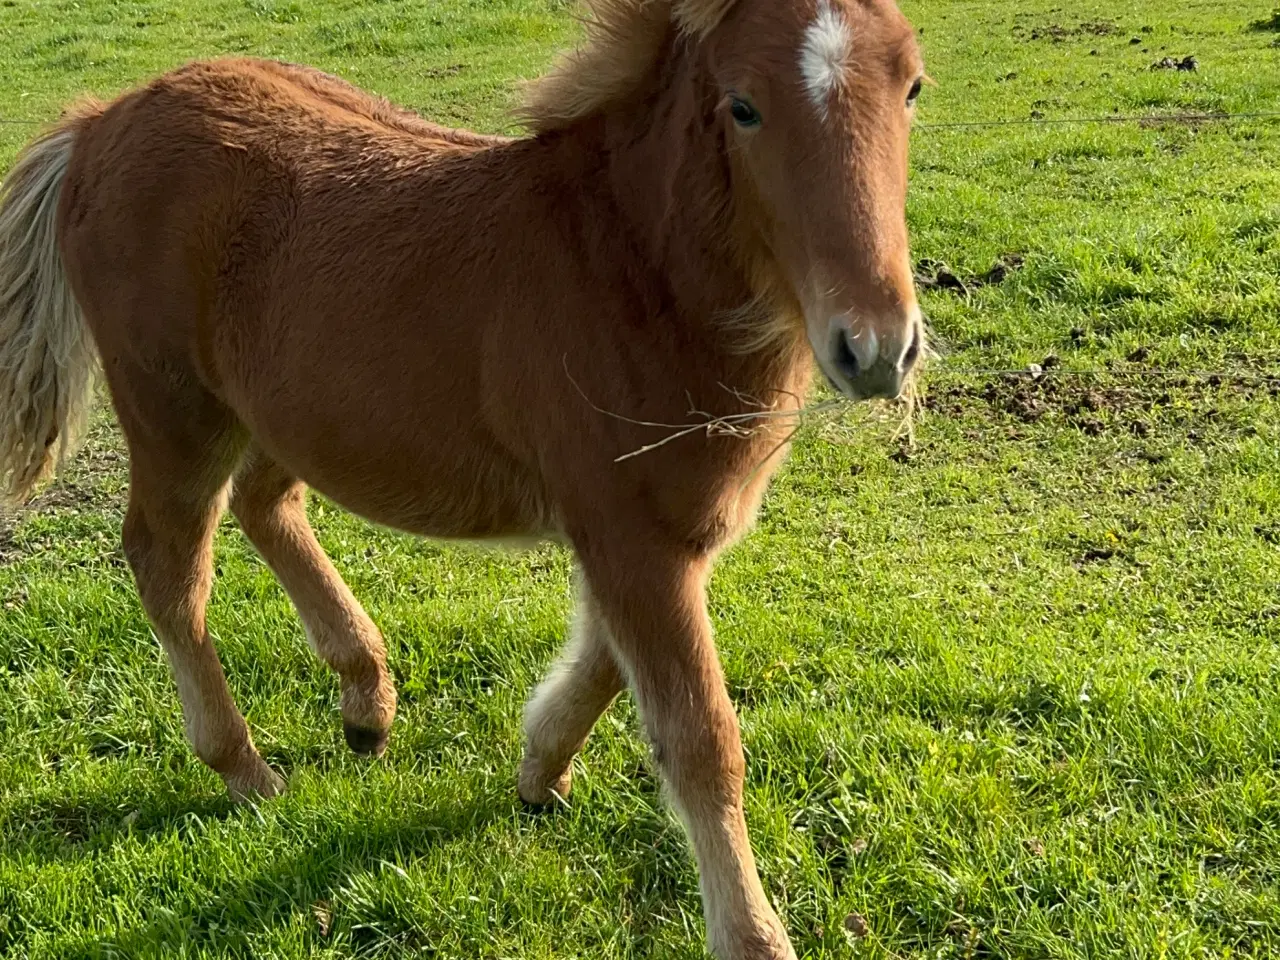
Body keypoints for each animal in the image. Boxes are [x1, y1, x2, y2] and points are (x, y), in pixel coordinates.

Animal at [0, 0, 926, 957]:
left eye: (912, 86)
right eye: (742, 107)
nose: (876, 348)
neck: (631, 271)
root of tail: (98, 121)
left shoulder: (657, 530)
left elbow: (605, 662)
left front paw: (537, 768)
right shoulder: (629, 532)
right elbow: (699, 735)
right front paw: (752, 933)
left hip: (287, 407)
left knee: (266, 504)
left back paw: (365, 700)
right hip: (174, 411)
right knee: (167, 567)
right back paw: (245, 768)